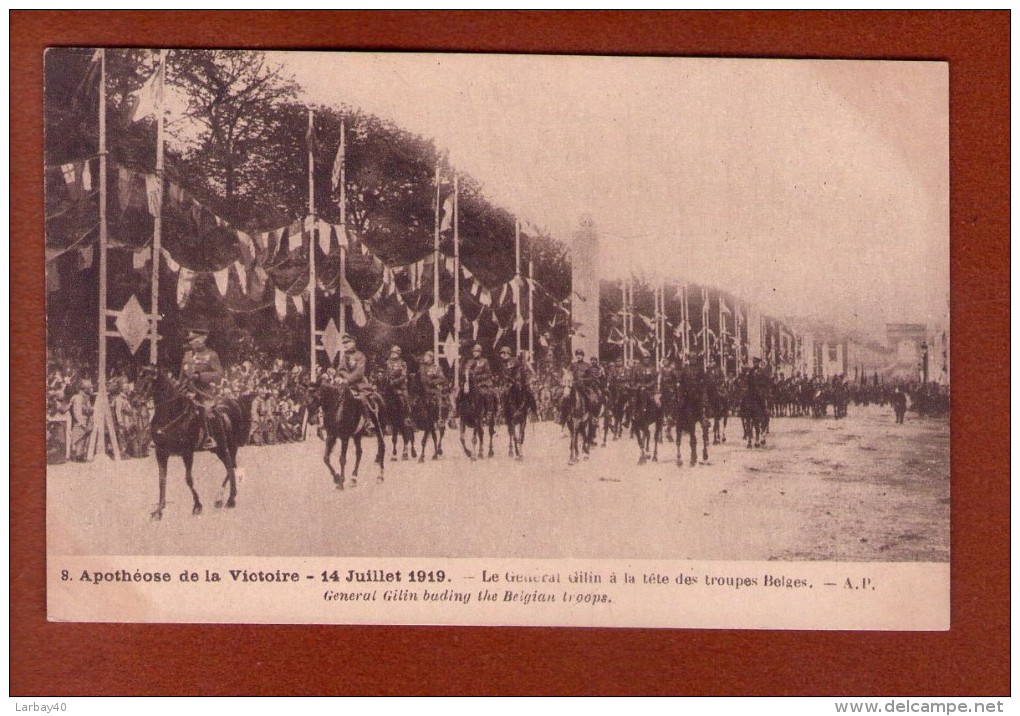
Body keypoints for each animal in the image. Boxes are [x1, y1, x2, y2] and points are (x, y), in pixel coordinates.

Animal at [132, 367, 253, 526]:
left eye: (148, 380)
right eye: (137, 378)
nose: (134, 401)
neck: (171, 414)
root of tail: (234, 402)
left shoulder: (187, 452)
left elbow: (188, 479)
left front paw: (197, 505)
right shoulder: (161, 452)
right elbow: (162, 480)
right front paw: (158, 511)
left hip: (225, 446)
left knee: (230, 467)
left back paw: (230, 499)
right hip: (218, 449)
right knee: (231, 466)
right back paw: (220, 498)